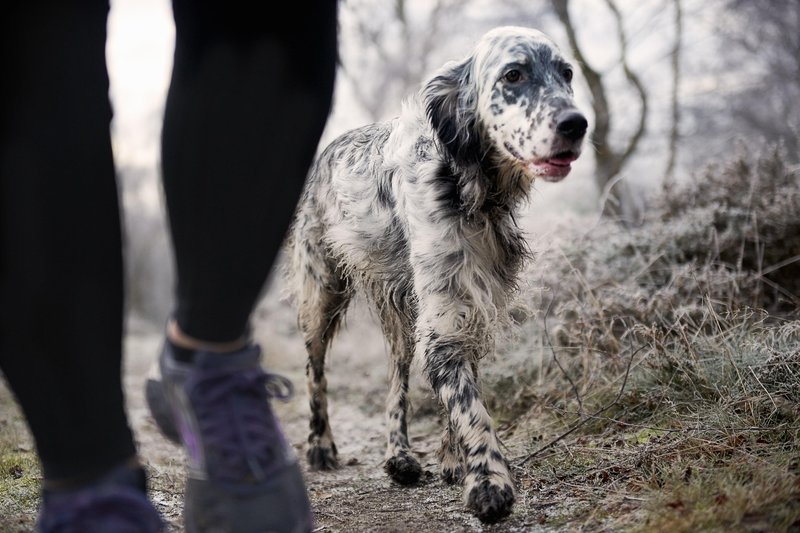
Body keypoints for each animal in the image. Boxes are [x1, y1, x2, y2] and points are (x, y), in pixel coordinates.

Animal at [284, 27, 584, 520]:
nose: (577, 124)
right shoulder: (444, 315)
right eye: (513, 75)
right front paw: (488, 482)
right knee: (315, 370)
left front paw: (454, 460)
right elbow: (470, 407)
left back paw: (399, 455)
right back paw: (321, 446)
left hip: (403, 317)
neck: (471, 188)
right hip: (321, 295)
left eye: (567, 74)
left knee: (397, 376)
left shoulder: (470, 304)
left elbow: (462, 387)